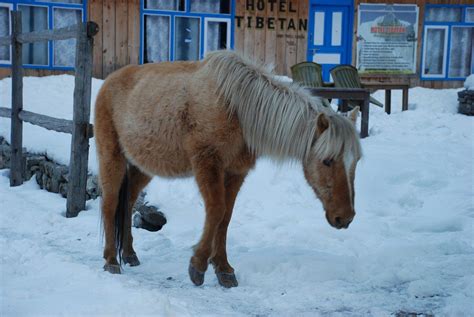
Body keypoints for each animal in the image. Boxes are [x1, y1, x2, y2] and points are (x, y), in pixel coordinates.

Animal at [92, 49, 362, 286]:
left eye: (356, 161)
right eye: (327, 160)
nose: (345, 218)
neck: (236, 107)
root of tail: (108, 83)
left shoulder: (235, 172)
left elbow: (226, 217)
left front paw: (223, 269)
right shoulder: (207, 164)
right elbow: (216, 210)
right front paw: (198, 265)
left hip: (143, 167)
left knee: (127, 203)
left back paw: (129, 254)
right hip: (112, 157)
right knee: (110, 203)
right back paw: (111, 260)